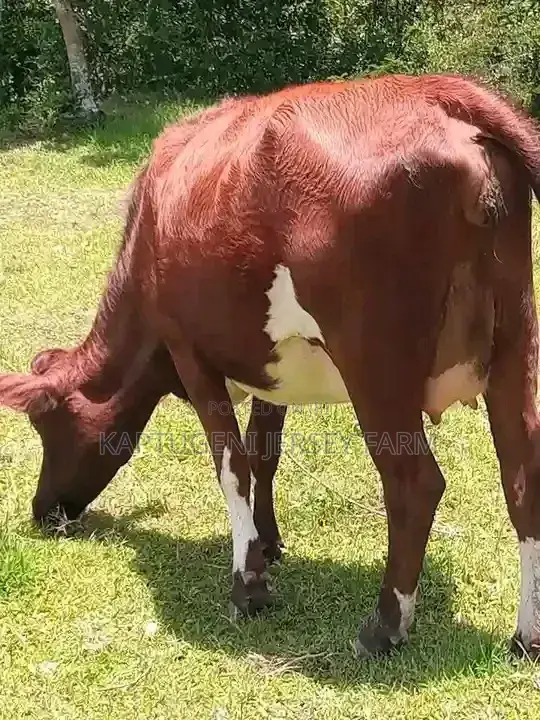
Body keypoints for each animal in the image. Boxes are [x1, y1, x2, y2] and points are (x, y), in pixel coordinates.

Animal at [0, 73, 539, 660]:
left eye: (48, 423)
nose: (42, 509)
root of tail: (437, 92)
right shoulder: (267, 368)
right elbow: (263, 454)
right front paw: (269, 540)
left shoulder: (190, 354)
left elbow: (231, 464)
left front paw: (248, 584)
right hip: (516, 340)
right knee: (523, 475)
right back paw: (527, 636)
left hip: (376, 366)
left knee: (414, 483)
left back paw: (384, 626)